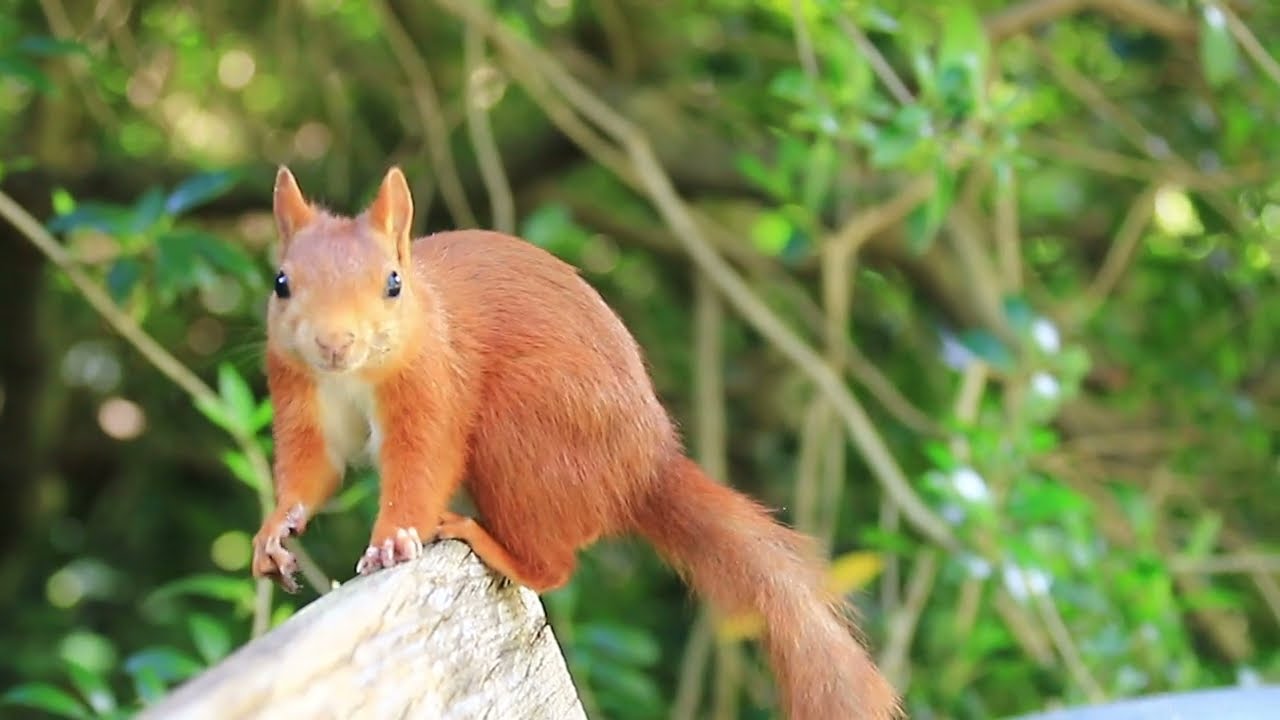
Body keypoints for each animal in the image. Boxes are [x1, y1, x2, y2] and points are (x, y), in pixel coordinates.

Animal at [250, 166, 901, 720]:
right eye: (281, 283)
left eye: (393, 283)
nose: (334, 343)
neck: (352, 377)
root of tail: (644, 470)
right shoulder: (302, 401)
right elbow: (310, 473)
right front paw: (274, 535)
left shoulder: (435, 387)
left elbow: (420, 464)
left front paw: (391, 539)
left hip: (524, 431)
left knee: (554, 568)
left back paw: (488, 541)